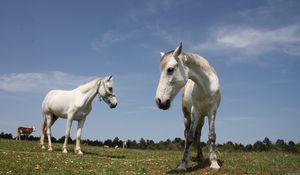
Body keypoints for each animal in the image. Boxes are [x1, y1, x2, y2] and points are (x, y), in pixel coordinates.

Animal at [156, 43, 221, 172]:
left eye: (170, 70)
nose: (160, 101)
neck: (206, 87)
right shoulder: (195, 111)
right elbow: (190, 137)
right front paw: (182, 165)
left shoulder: (212, 111)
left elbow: (211, 136)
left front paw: (214, 163)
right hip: (188, 117)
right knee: (187, 135)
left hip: (201, 118)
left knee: (198, 135)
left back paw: (200, 156)